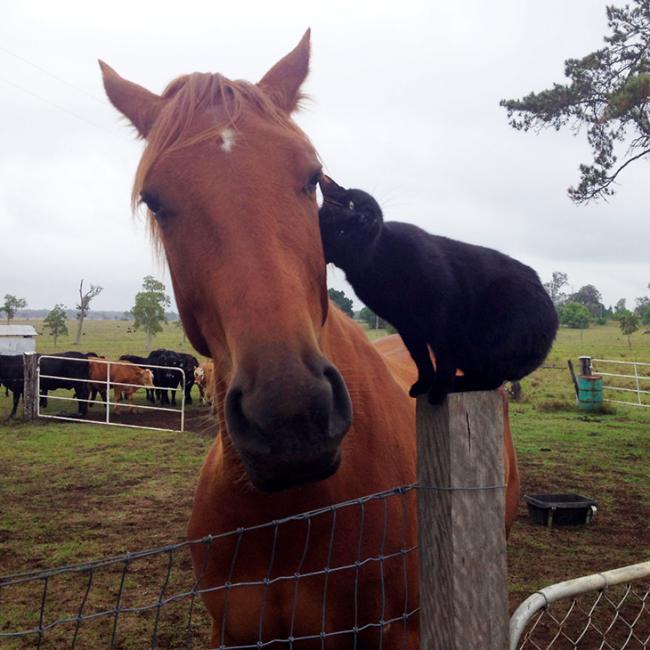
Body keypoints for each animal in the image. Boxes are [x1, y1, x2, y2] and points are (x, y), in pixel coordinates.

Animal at [318, 175, 556, 402]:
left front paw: (439, 388)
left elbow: (444, 355)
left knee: (492, 379)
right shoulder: (407, 326)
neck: (381, 262)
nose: (362, 219)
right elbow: (421, 358)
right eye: (341, 232)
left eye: (351, 204)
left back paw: (456, 384)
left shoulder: (443, 315)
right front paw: (424, 385)